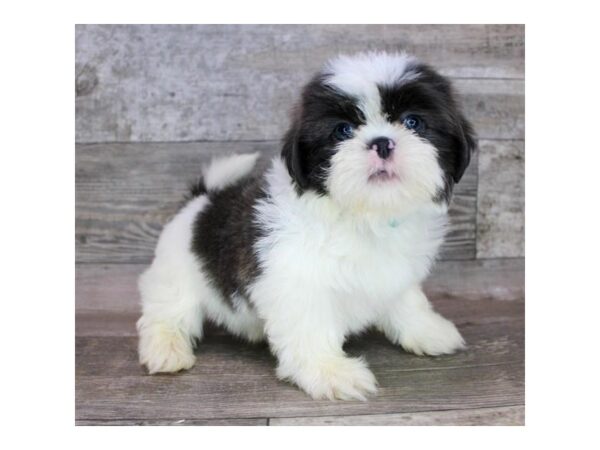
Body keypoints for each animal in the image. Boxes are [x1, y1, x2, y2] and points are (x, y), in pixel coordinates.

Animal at [137, 52, 478, 400]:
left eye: (412, 122)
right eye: (342, 130)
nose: (382, 143)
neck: (364, 216)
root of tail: (201, 199)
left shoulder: (397, 273)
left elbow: (407, 301)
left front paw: (428, 330)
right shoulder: (296, 279)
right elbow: (310, 326)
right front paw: (330, 371)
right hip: (176, 274)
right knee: (167, 312)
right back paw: (166, 348)